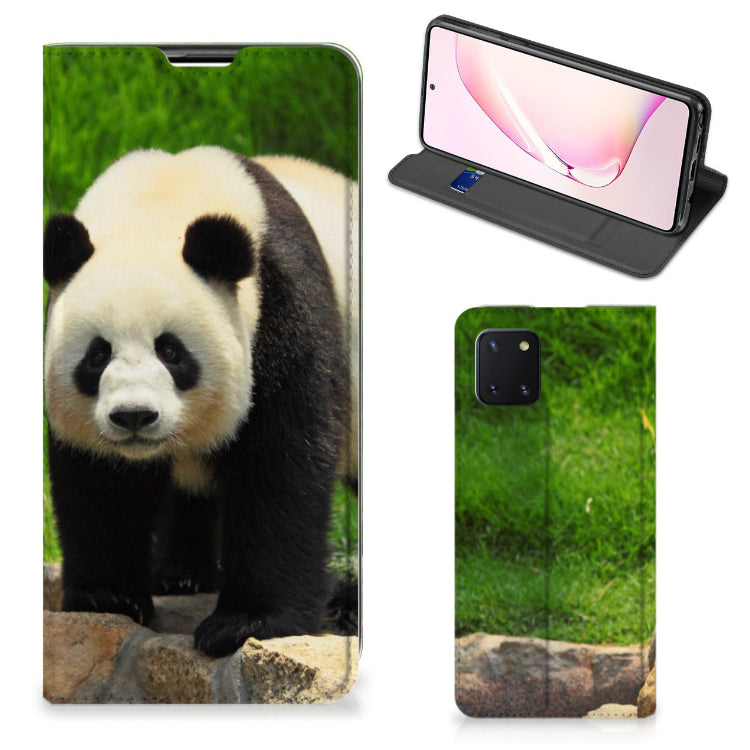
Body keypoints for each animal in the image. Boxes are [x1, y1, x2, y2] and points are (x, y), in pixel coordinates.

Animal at [43, 146, 358, 657]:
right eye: (98, 354)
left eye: (171, 351)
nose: (134, 416)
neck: (159, 201)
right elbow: (101, 481)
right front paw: (108, 597)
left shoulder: (282, 308)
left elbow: (281, 463)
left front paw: (245, 623)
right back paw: (181, 575)